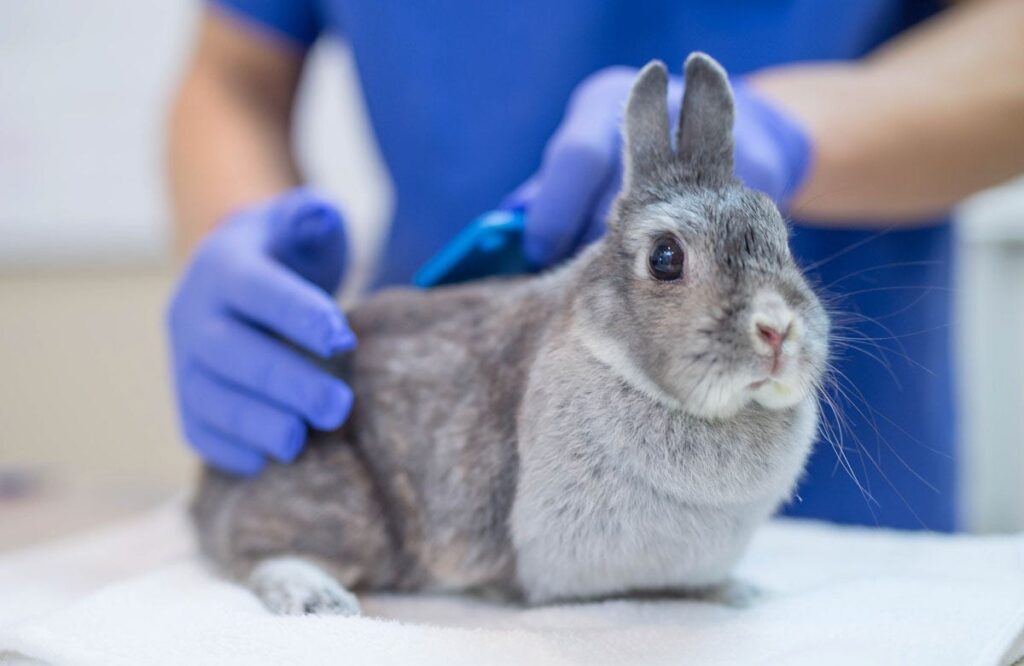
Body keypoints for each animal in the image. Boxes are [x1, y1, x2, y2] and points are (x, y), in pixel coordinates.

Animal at [192, 54, 831, 614]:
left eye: (782, 240)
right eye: (666, 258)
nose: (777, 330)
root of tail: (209, 492)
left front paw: (737, 592)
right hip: (343, 508)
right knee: (255, 553)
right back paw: (315, 597)